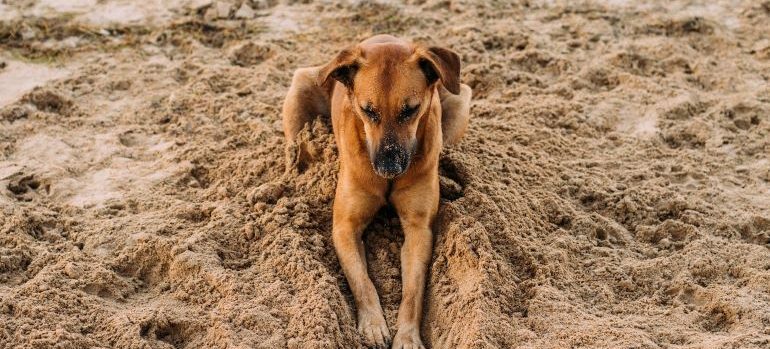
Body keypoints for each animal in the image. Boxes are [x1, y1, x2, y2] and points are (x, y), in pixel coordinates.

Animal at [282, 33, 472, 348]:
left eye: (410, 109)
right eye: (367, 110)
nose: (388, 166)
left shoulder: (419, 230)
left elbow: (413, 291)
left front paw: (407, 335)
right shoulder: (345, 227)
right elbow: (362, 280)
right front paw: (373, 324)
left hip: (459, 97)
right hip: (299, 91)